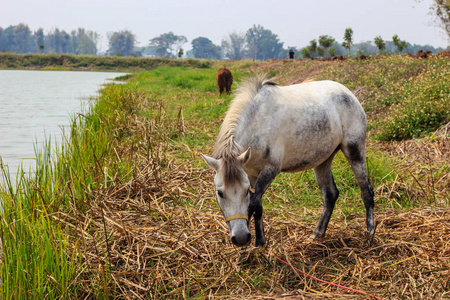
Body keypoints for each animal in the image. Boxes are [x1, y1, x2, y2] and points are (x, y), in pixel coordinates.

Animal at [202, 74, 374, 247]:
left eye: (245, 191)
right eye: (220, 193)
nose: (241, 238)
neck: (258, 122)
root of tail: (349, 93)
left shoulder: (270, 170)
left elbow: (253, 204)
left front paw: (255, 241)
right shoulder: (251, 173)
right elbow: (258, 206)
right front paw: (260, 242)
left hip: (354, 150)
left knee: (366, 191)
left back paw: (370, 232)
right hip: (323, 160)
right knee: (330, 195)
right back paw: (317, 234)